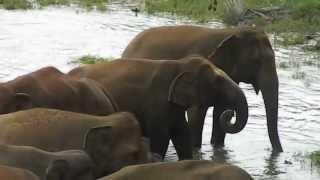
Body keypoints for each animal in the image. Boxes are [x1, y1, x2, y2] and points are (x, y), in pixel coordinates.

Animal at [67, 56, 249, 160]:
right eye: (218, 82)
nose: (229, 113)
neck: (180, 65)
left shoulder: (174, 107)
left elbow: (182, 135)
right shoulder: (157, 102)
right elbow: (161, 137)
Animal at [121, 25, 282, 152]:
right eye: (256, 61)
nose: (277, 152)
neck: (232, 32)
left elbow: (221, 110)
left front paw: (217, 147)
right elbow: (196, 114)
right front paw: (196, 149)